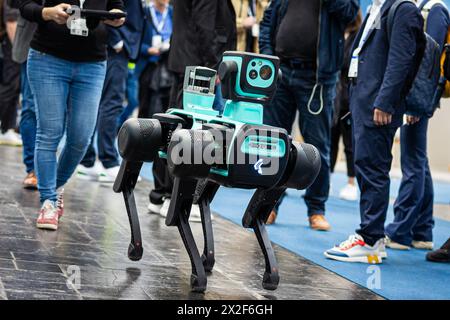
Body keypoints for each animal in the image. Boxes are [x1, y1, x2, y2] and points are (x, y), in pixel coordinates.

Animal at [114, 52, 322, 292]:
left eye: (264, 71)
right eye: (257, 71)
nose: (263, 71)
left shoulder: (286, 172)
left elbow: (254, 217)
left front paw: (271, 274)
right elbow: (177, 213)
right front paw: (198, 276)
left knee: (204, 198)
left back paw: (208, 258)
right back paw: (140, 247)